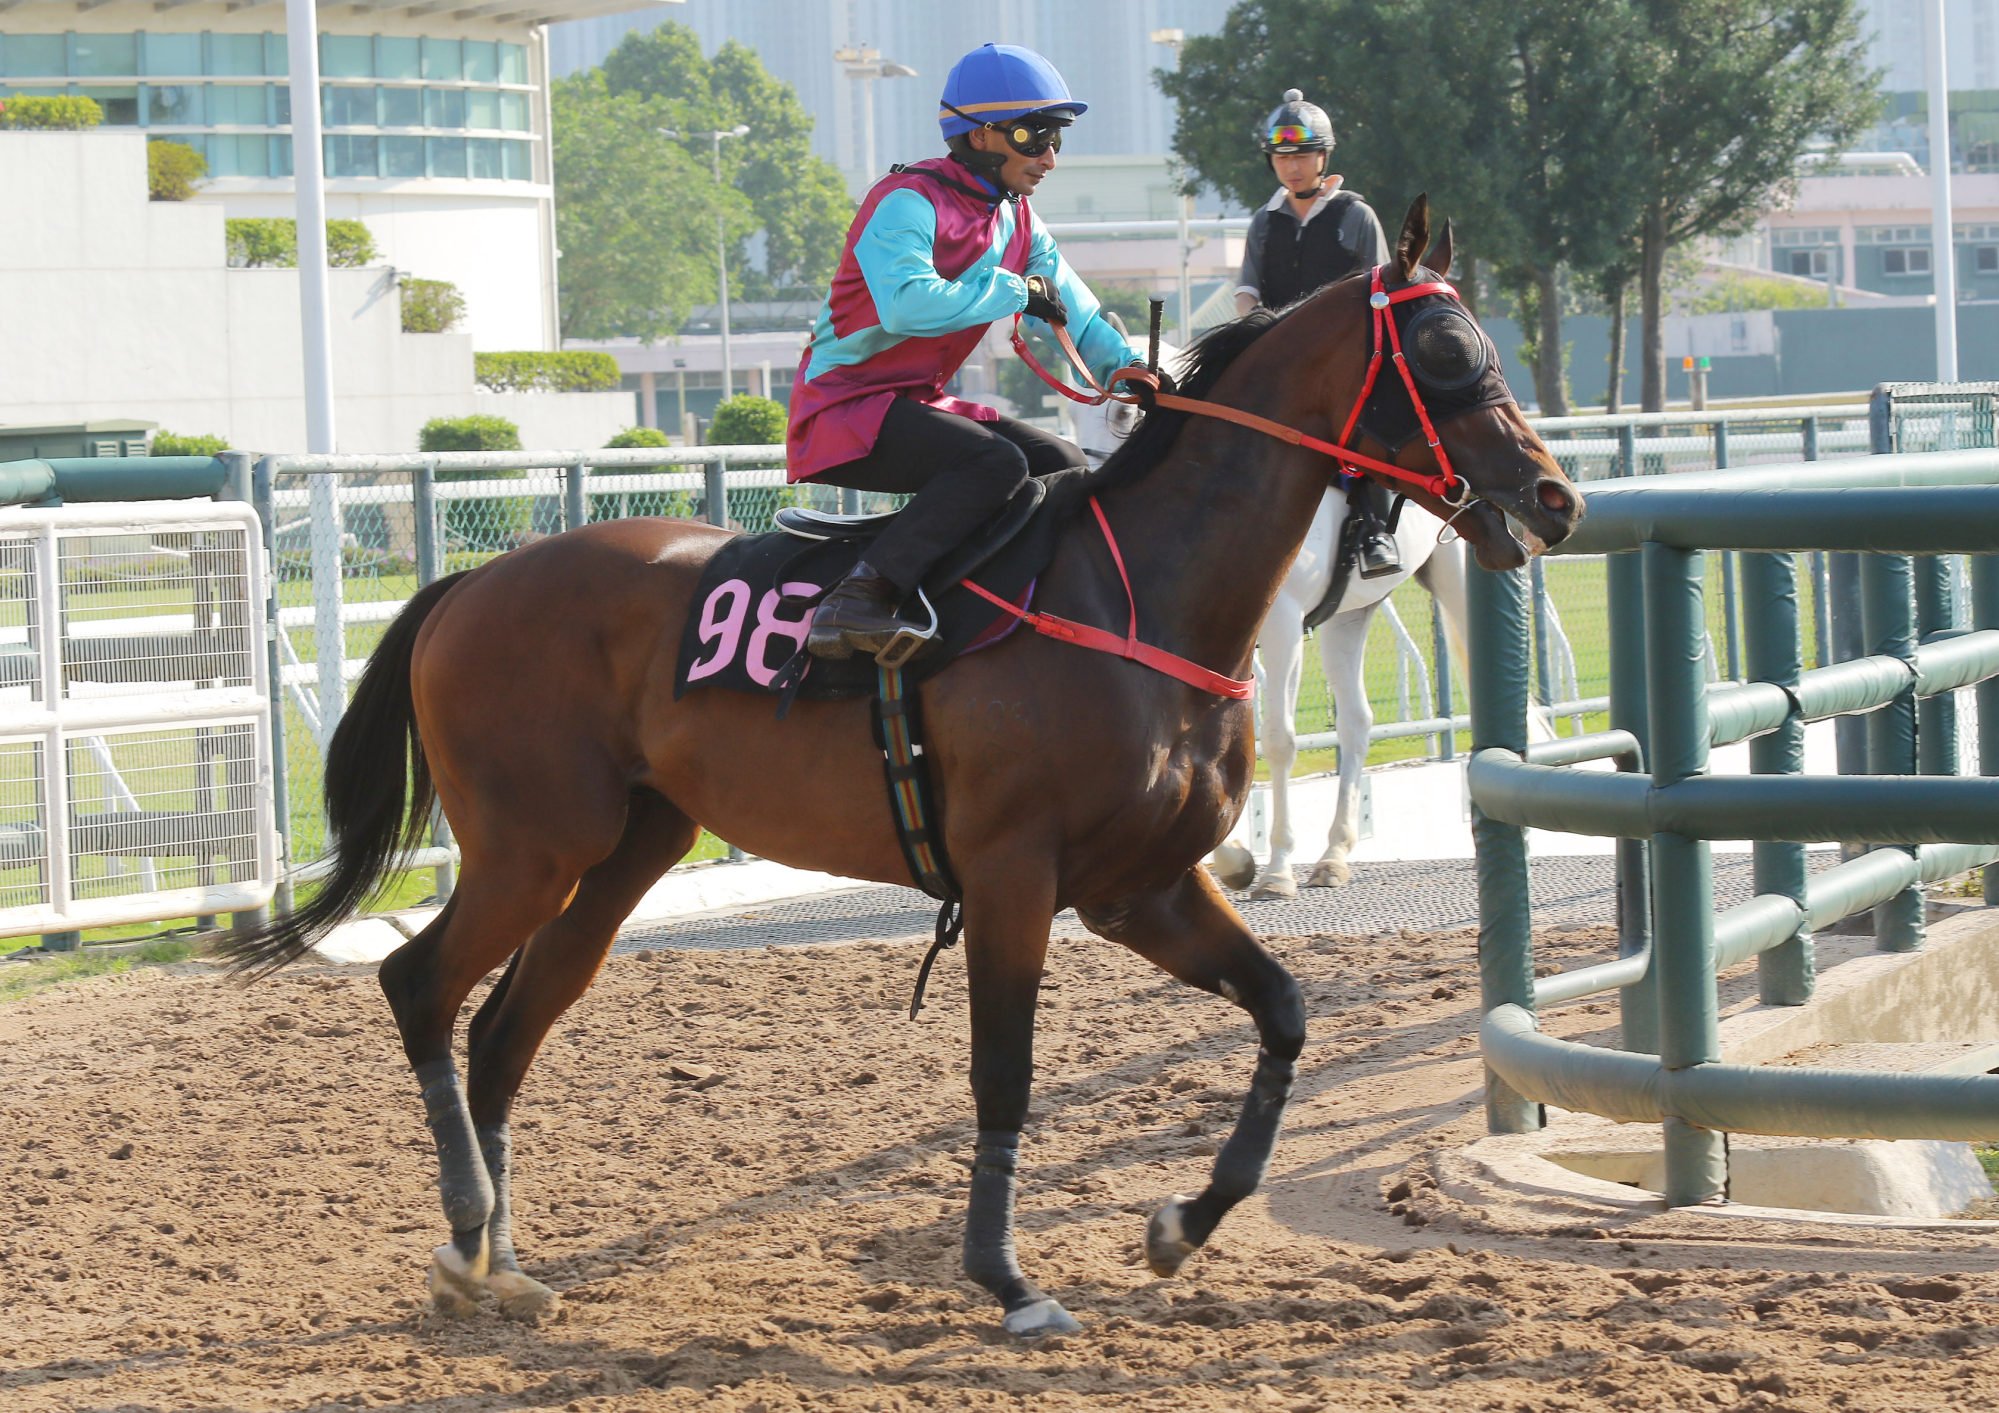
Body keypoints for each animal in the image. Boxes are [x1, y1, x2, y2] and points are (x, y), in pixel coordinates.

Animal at [222, 198, 1575, 1335]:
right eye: (1447, 352)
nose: (1554, 498)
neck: (1138, 591)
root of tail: (467, 585)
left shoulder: (1141, 887)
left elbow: (1284, 1012)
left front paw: (1180, 1225)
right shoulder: (1017, 878)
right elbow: (1003, 1077)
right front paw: (1006, 1279)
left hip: (622, 855)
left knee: (505, 1031)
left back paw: (501, 1262)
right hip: (528, 844)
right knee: (420, 988)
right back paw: (463, 1241)